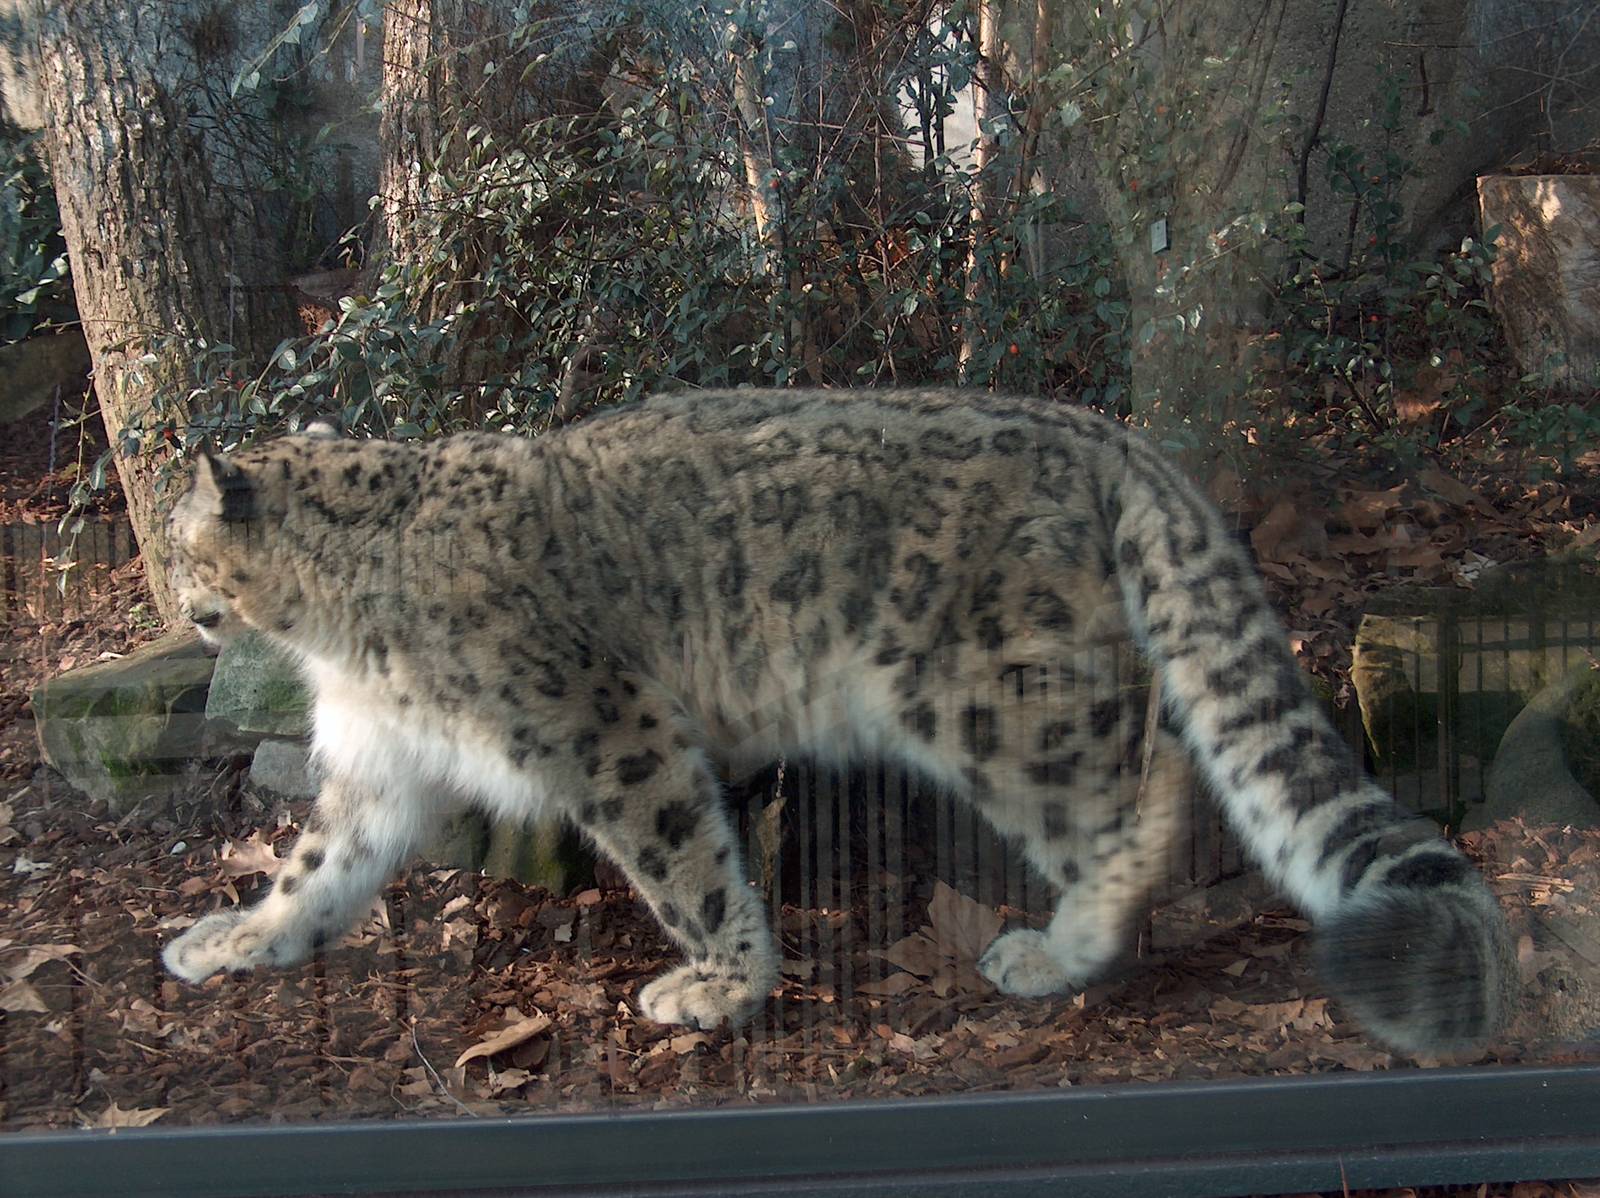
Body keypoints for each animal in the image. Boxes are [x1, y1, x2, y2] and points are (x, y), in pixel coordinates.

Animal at [160, 388, 1516, 1056]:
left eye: (182, 543)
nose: (172, 594)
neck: (340, 641)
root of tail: (1113, 438)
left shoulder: (603, 723)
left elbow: (682, 856)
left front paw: (719, 985)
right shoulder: (375, 770)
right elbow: (317, 869)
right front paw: (236, 938)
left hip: (978, 693)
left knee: (1129, 792)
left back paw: (1057, 947)